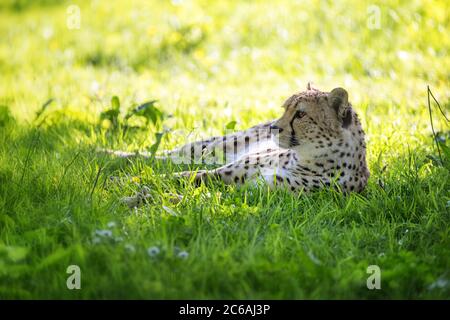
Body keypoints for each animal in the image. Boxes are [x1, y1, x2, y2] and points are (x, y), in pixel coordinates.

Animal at [108, 85, 370, 194]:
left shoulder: (254, 189)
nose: (273, 128)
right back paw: (107, 155)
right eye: (285, 108)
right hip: (216, 146)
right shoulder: (227, 171)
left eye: (301, 114)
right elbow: (181, 175)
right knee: (161, 156)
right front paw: (122, 182)